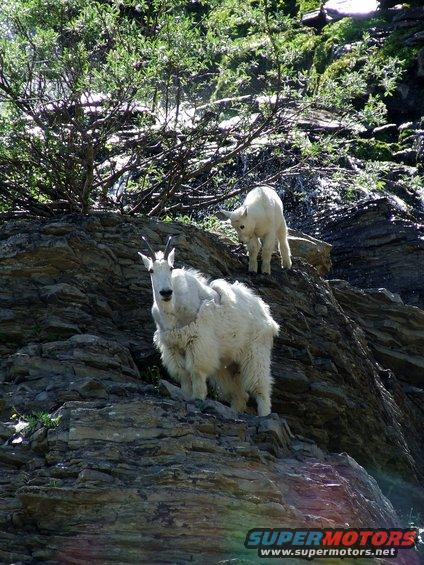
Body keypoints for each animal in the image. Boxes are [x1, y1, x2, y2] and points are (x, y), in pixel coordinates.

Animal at [138, 235, 278, 414]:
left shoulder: (198, 342)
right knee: (239, 394)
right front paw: (187, 397)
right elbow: (183, 374)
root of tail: (265, 312)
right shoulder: (172, 346)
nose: (166, 293)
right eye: (151, 270)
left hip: (256, 351)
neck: (174, 311)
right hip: (228, 363)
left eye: (170, 268)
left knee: (260, 387)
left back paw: (264, 414)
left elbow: (196, 371)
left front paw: (198, 399)